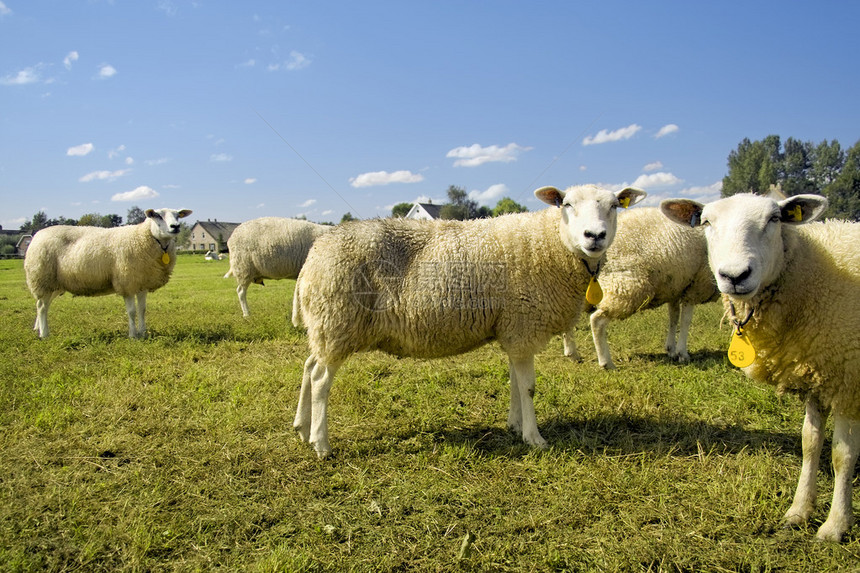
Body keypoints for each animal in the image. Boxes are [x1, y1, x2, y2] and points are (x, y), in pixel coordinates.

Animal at [24, 208, 192, 338]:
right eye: (157, 215)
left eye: (178, 215)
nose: (175, 226)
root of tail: (37, 235)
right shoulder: (126, 282)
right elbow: (131, 311)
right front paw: (133, 335)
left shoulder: (141, 282)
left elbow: (142, 310)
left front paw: (143, 333)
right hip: (42, 278)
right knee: (41, 306)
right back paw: (44, 334)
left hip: (54, 284)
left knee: (43, 305)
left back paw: (37, 328)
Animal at [290, 183, 644, 456]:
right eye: (567, 204)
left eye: (615, 206)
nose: (594, 235)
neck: (552, 244)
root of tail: (314, 254)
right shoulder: (523, 325)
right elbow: (528, 387)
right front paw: (535, 438)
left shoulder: (512, 330)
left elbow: (515, 382)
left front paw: (515, 425)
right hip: (338, 321)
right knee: (321, 380)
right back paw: (321, 444)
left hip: (324, 326)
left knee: (309, 366)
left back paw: (302, 427)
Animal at [564, 208, 720, 368]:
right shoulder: (695, 286)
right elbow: (686, 320)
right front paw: (682, 353)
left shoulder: (674, 287)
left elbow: (674, 317)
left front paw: (671, 349)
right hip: (625, 287)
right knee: (597, 321)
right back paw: (606, 362)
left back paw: (572, 354)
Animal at [660, 193, 860, 540]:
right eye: (706, 222)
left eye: (774, 219)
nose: (734, 276)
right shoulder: (815, 373)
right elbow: (810, 444)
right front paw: (799, 510)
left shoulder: (847, 377)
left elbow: (841, 456)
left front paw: (835, 525)